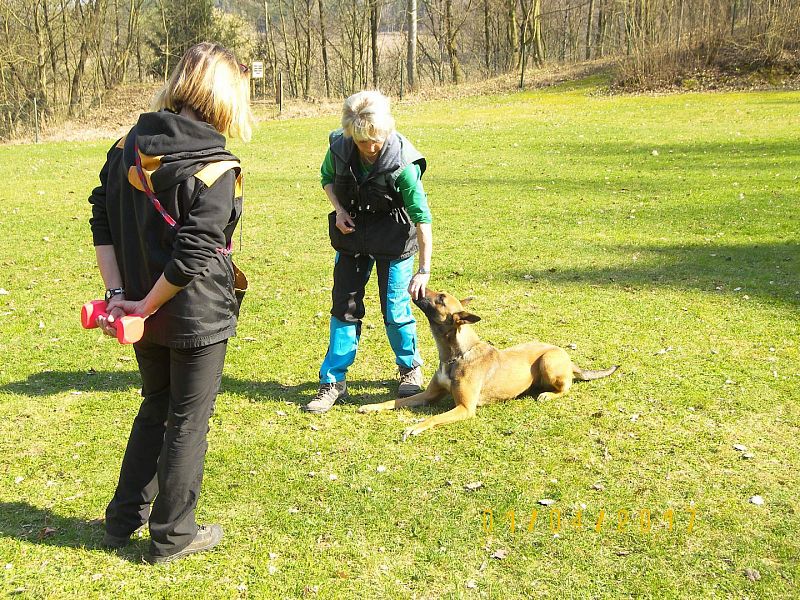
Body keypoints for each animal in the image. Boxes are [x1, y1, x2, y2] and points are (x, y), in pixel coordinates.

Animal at [358, 288, 620, 438]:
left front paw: (416, 426)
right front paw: (372, 406)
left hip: (548, 360)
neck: (456, 354)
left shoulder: (465, 408)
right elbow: (396, 401)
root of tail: (568, 359)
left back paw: (547, 395)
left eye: (441, 299)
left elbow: (432, 418)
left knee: (566, 387)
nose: (415, 282)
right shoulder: (428, 395)